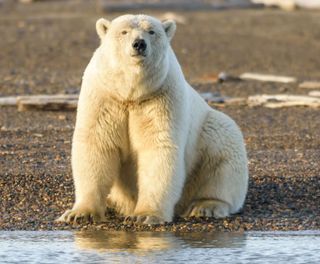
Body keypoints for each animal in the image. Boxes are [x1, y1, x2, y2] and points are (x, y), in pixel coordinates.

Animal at [57, 14, 248, 225]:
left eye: (151, 31)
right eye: (124, 31)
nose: (139, 44)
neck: (131, 95)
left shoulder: (161, 97)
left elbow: (158, 148)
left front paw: (145, 215)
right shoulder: (104, 97)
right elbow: (97, 144)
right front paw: (80, 213)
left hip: (210, 130)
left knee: (223, 150)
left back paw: (206, 206)